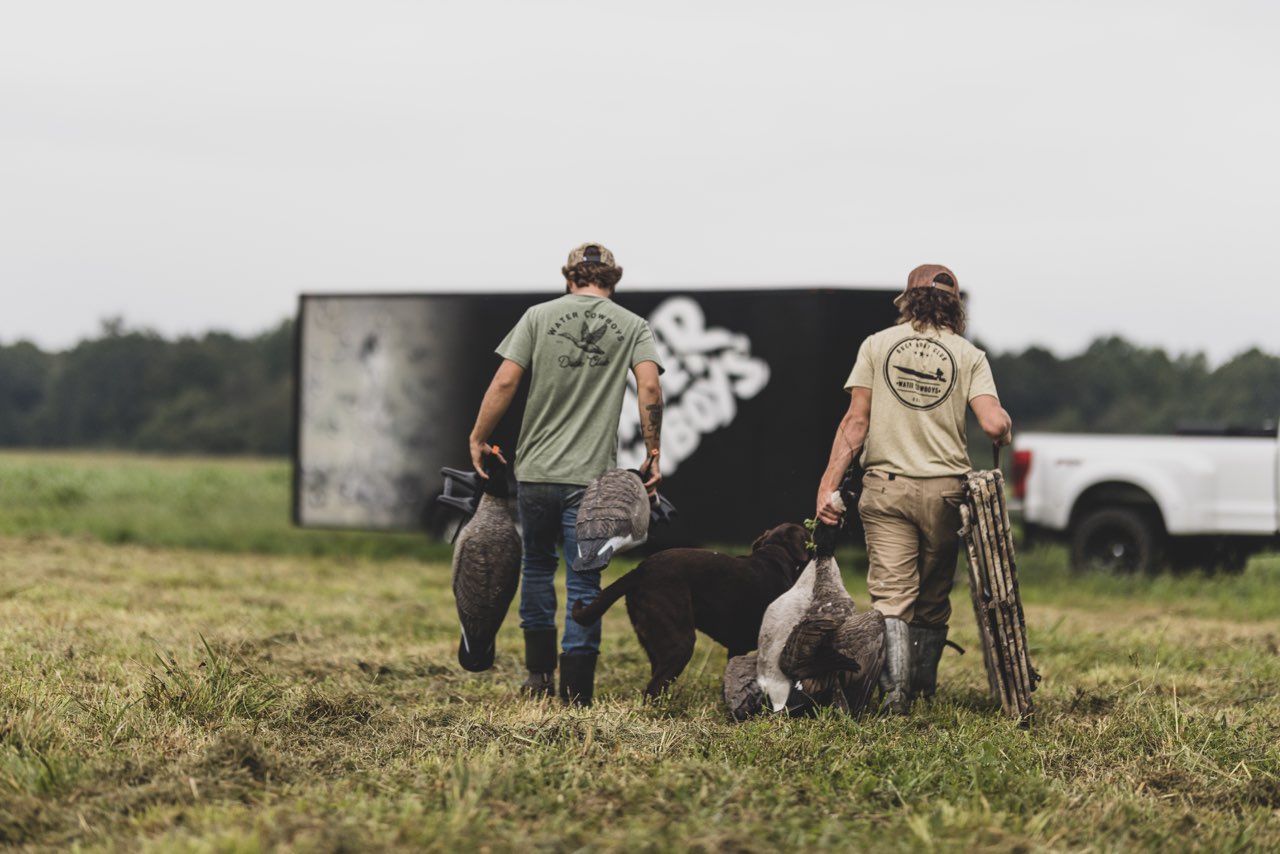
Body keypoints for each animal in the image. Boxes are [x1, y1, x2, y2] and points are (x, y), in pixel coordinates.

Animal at [573, 524, 808, 696]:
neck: (775, 554)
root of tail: (640, 570)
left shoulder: (736, 647)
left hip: (656, 645)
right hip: (680, 643)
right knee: (652, 689)